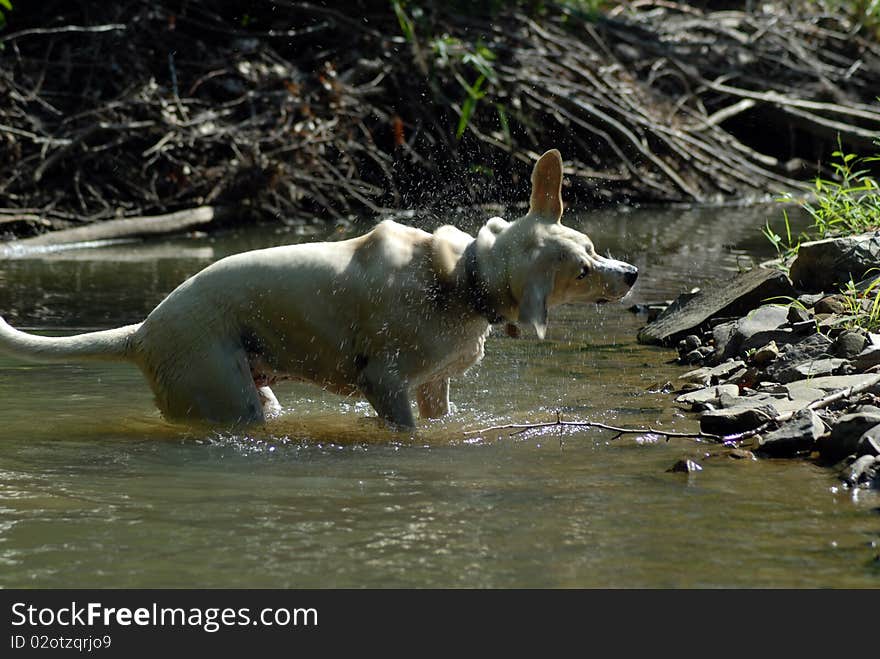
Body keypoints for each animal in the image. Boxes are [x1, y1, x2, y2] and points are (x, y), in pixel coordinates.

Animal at [0, 150, 640, 428]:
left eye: (592, 246)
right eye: (581, 271)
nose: (631, 275)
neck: (463, 278)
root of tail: (142, 331)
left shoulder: (433, 387)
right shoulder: (385, 384)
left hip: (257, 391)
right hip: (223, 399)